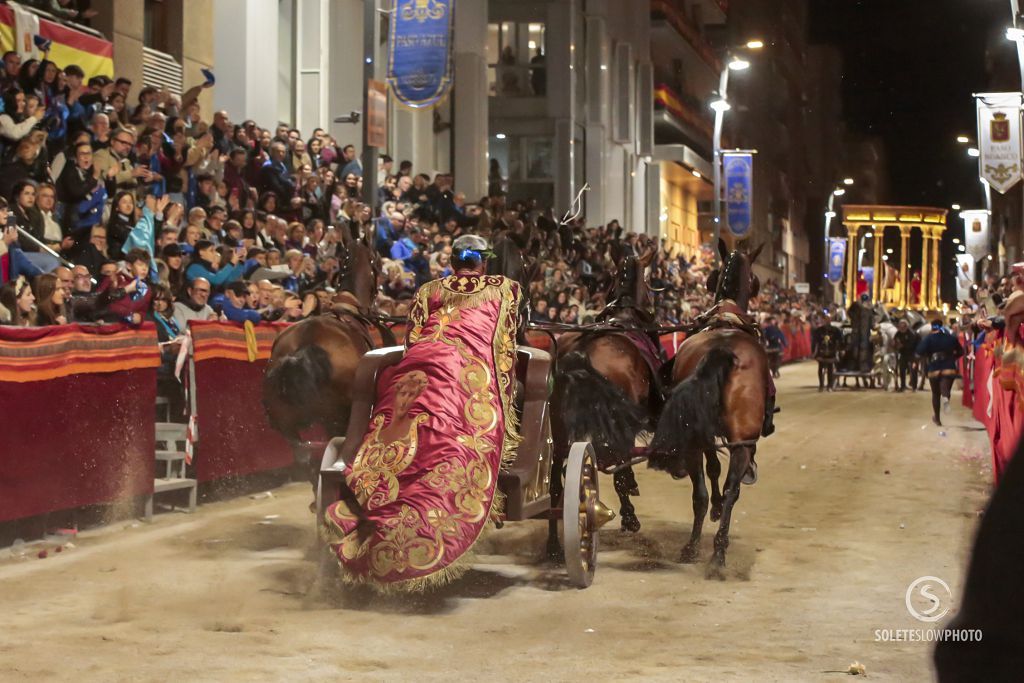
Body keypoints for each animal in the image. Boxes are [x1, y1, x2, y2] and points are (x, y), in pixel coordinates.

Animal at [552, 245, 663, 540]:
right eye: (650, 281)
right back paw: (629, 516)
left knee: (555, 482)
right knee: (618, 464)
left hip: (558, 427)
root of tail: (581, 352)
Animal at [647, 241, 770, 573]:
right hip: (733, 442)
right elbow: (718, 472)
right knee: (724, 489)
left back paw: (702, 549)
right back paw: (711, 549)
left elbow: (714, 471)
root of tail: (722, 349)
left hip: (700, 440)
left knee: (706, 492)